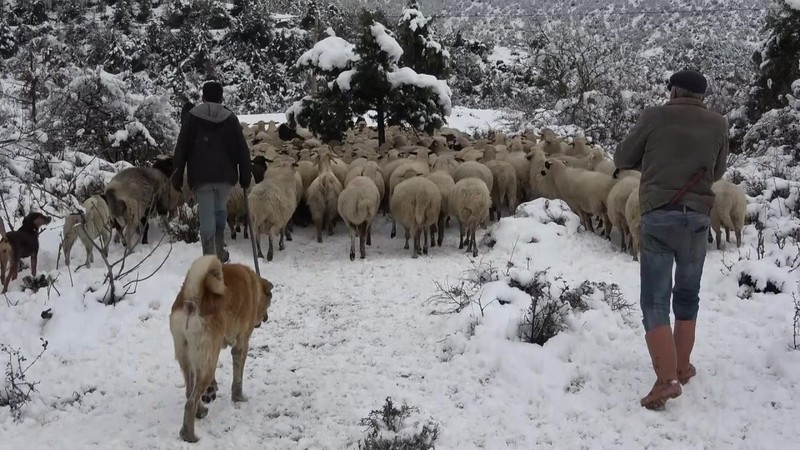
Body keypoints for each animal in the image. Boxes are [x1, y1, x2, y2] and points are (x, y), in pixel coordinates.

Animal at [168, 255, 272, 442]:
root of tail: (192, 299)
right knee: (190, 402)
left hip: (188, 358)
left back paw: (200, 412)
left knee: (189, 391)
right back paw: (189, 435)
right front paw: (238, 398)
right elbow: (238, 378)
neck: (255, 286)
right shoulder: (241, 344)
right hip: (207, 362)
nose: (266, 318)